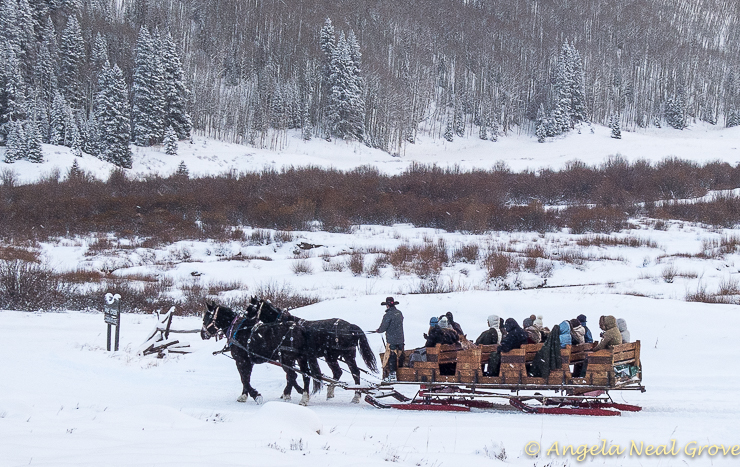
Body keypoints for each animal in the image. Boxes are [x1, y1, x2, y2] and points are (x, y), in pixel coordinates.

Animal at [250, 300, 378, 402]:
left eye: (250, 308)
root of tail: (351, 327)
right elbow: (291, 375)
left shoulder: (289, 357)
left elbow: (290, 375)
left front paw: (289, 393)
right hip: (332, 356)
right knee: (338, 372)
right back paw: (331, 391)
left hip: (346, 355)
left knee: (355, 373)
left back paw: (356, 396)